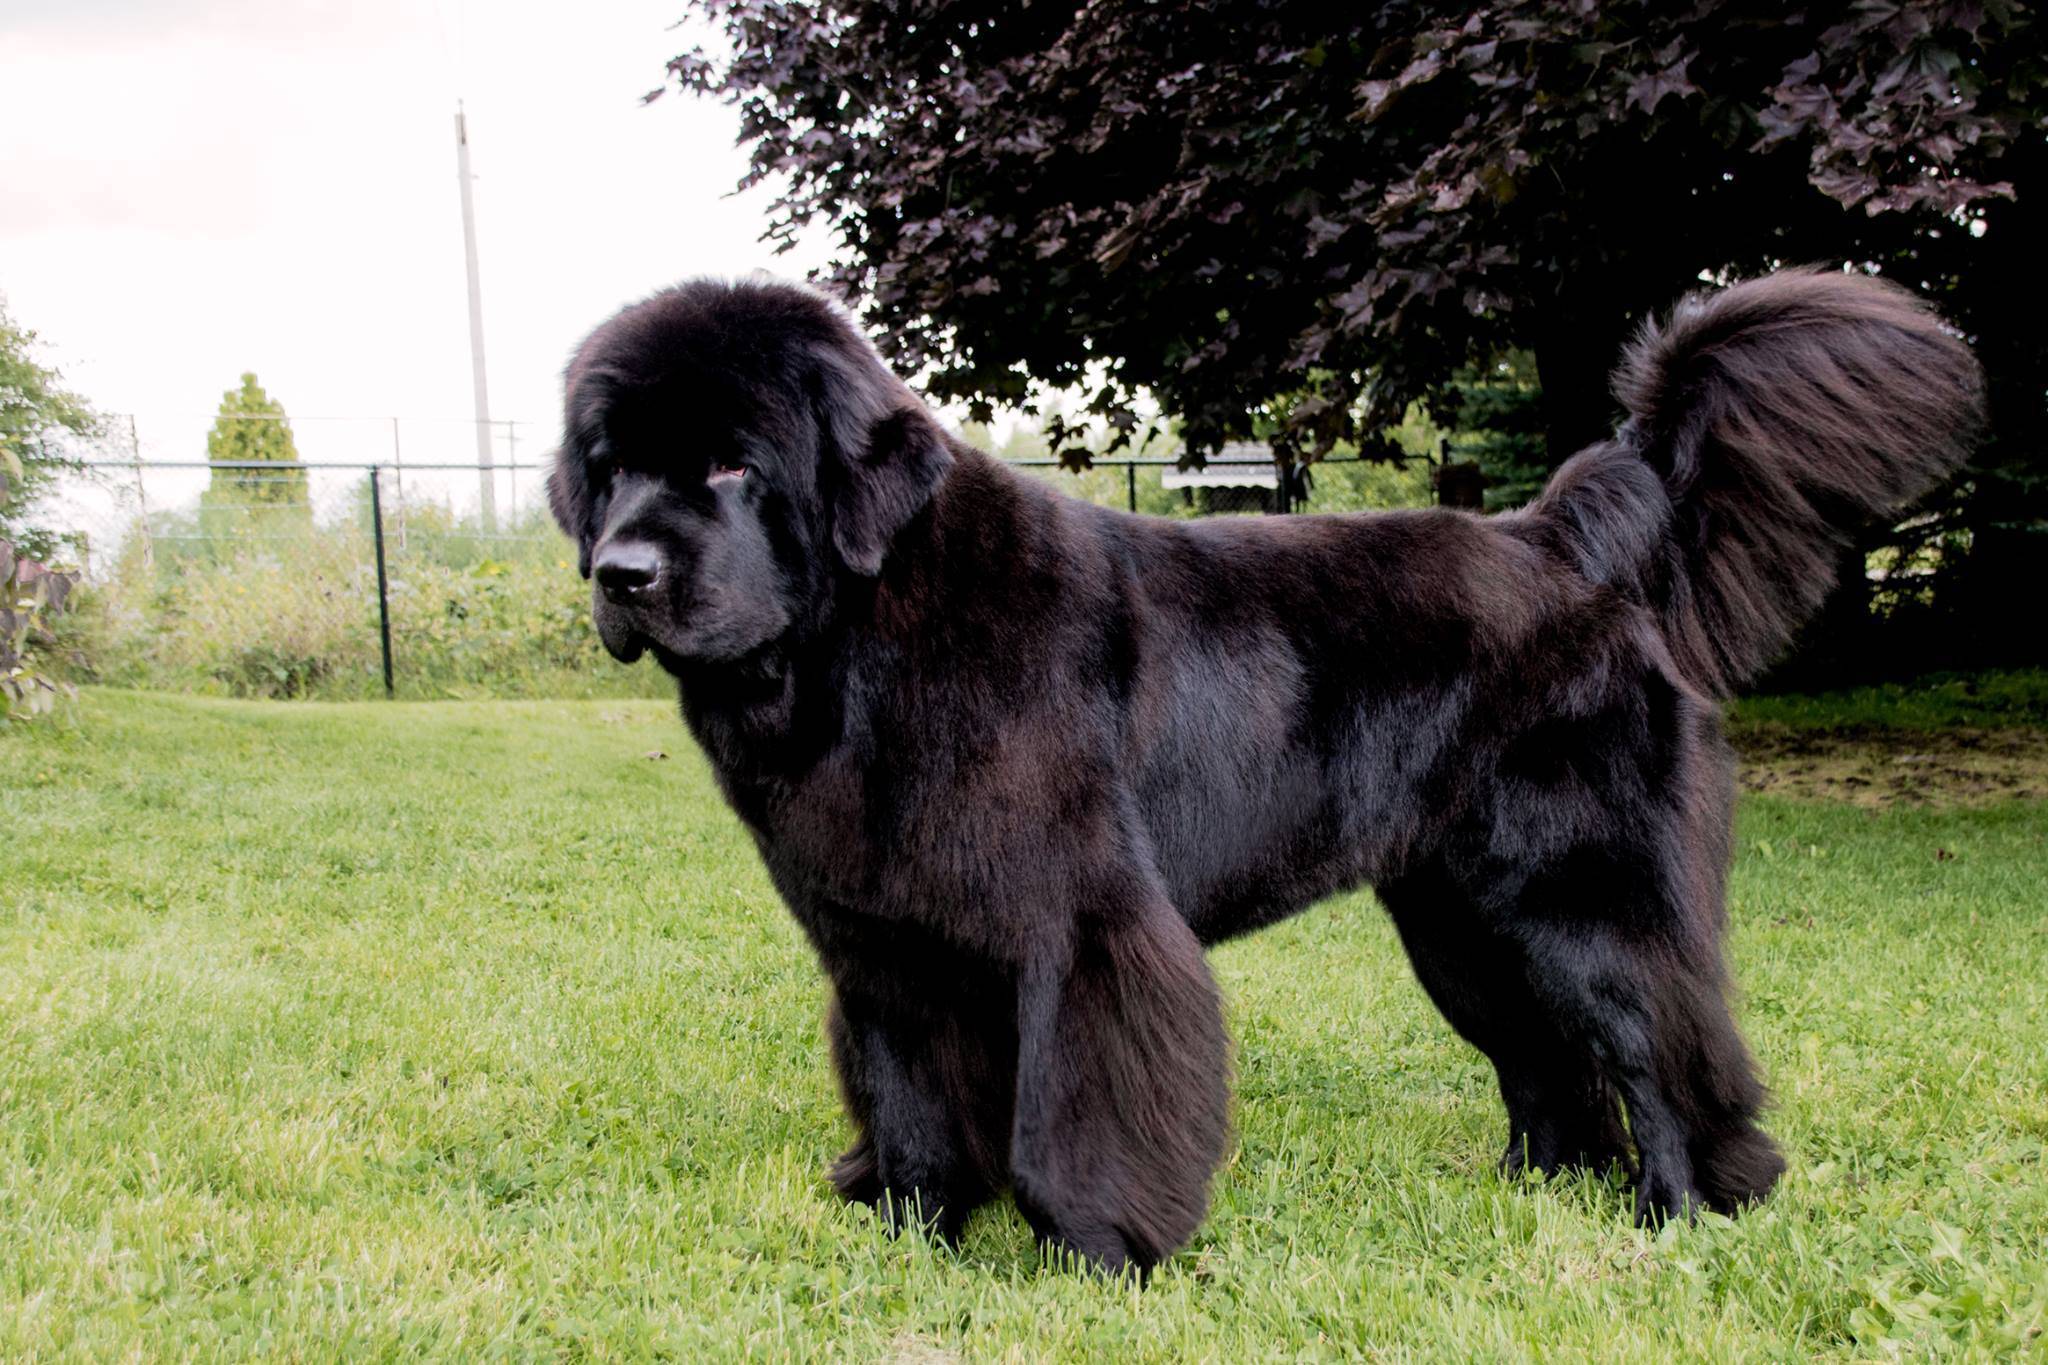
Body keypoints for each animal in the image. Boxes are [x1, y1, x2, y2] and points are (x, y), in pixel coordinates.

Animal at [548, 272, 1982, 1277]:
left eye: (734, 461)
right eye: (608, 468)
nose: (622, 571)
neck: (860, 650)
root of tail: (1561, 536)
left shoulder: (1080, 926)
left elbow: (1080, 1098)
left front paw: (1098, 1251)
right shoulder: (881, 943)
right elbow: (905, 1097)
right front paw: (906, 1235)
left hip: (1576, 887)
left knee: (1656, 1037)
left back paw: (1680, 1210)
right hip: (1459, 919)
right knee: (1543, 1055)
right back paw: (1535, 1191)